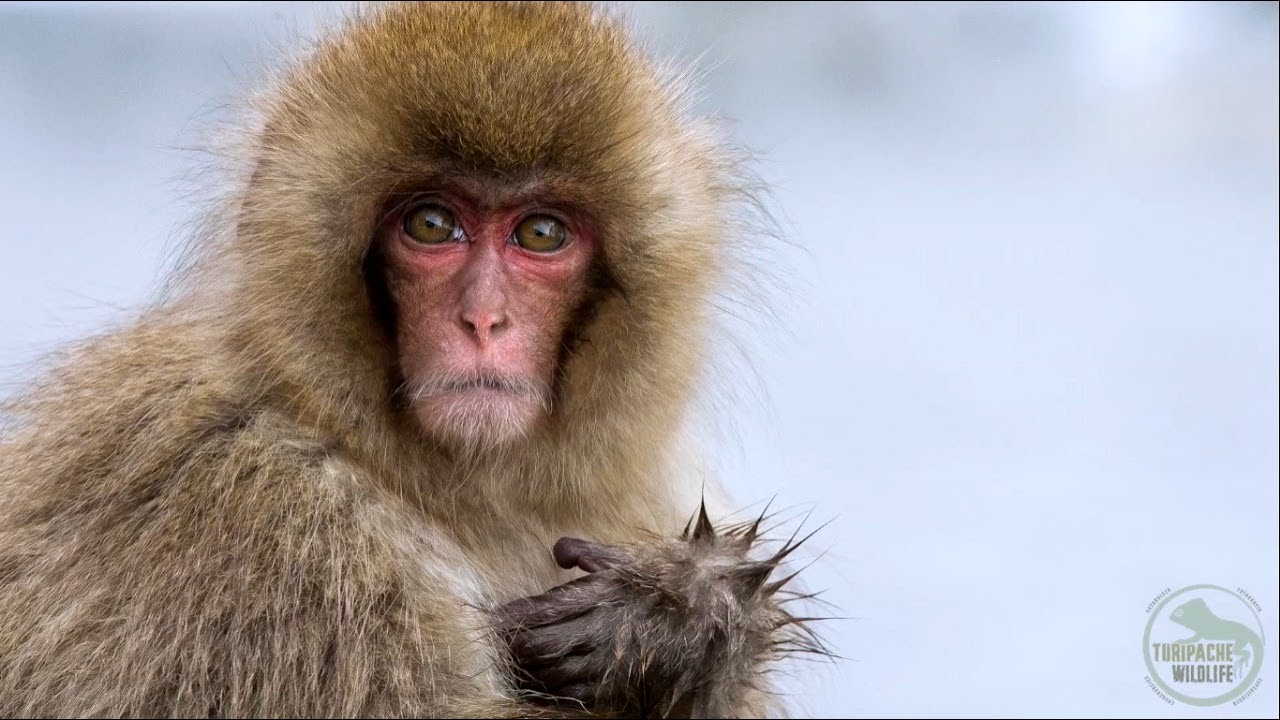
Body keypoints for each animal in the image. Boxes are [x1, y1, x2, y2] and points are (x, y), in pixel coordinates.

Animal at [0, 3, 825, 717]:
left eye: (542, 234)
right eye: (431, 224)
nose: (483, 320)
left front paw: (686, 621)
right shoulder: (270, 518)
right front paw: (677, 623)